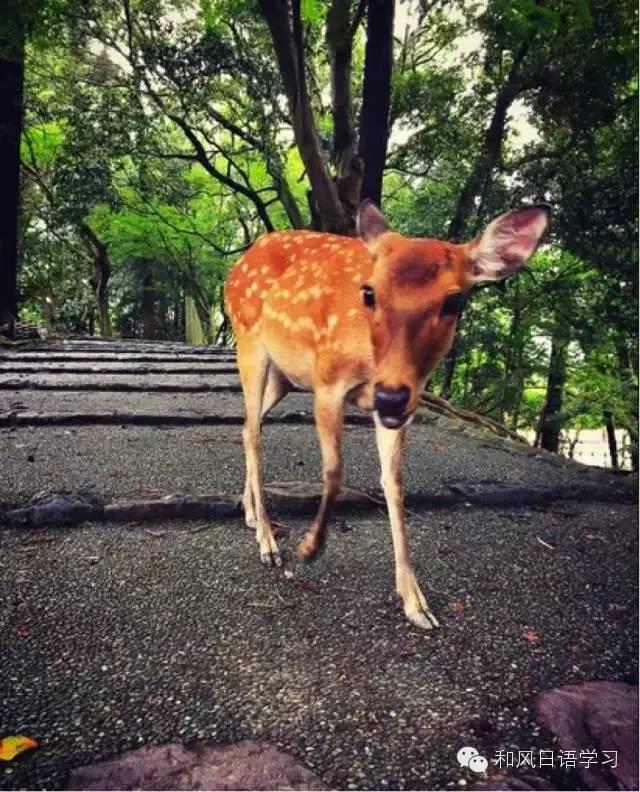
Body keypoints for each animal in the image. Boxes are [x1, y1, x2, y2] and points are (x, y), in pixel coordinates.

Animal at [222, 201, 548, 628]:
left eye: (455, 300)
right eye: (369, 292)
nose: (391, 396)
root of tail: (237, 266)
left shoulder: (401, 402)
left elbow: (394, 483)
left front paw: (416, 602)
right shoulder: (328, 381)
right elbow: (334, 471)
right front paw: (310, 547)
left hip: (285, 377)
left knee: (249, 427)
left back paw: (249, 515)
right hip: (249, 343)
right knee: (255, 432)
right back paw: (268, 542)